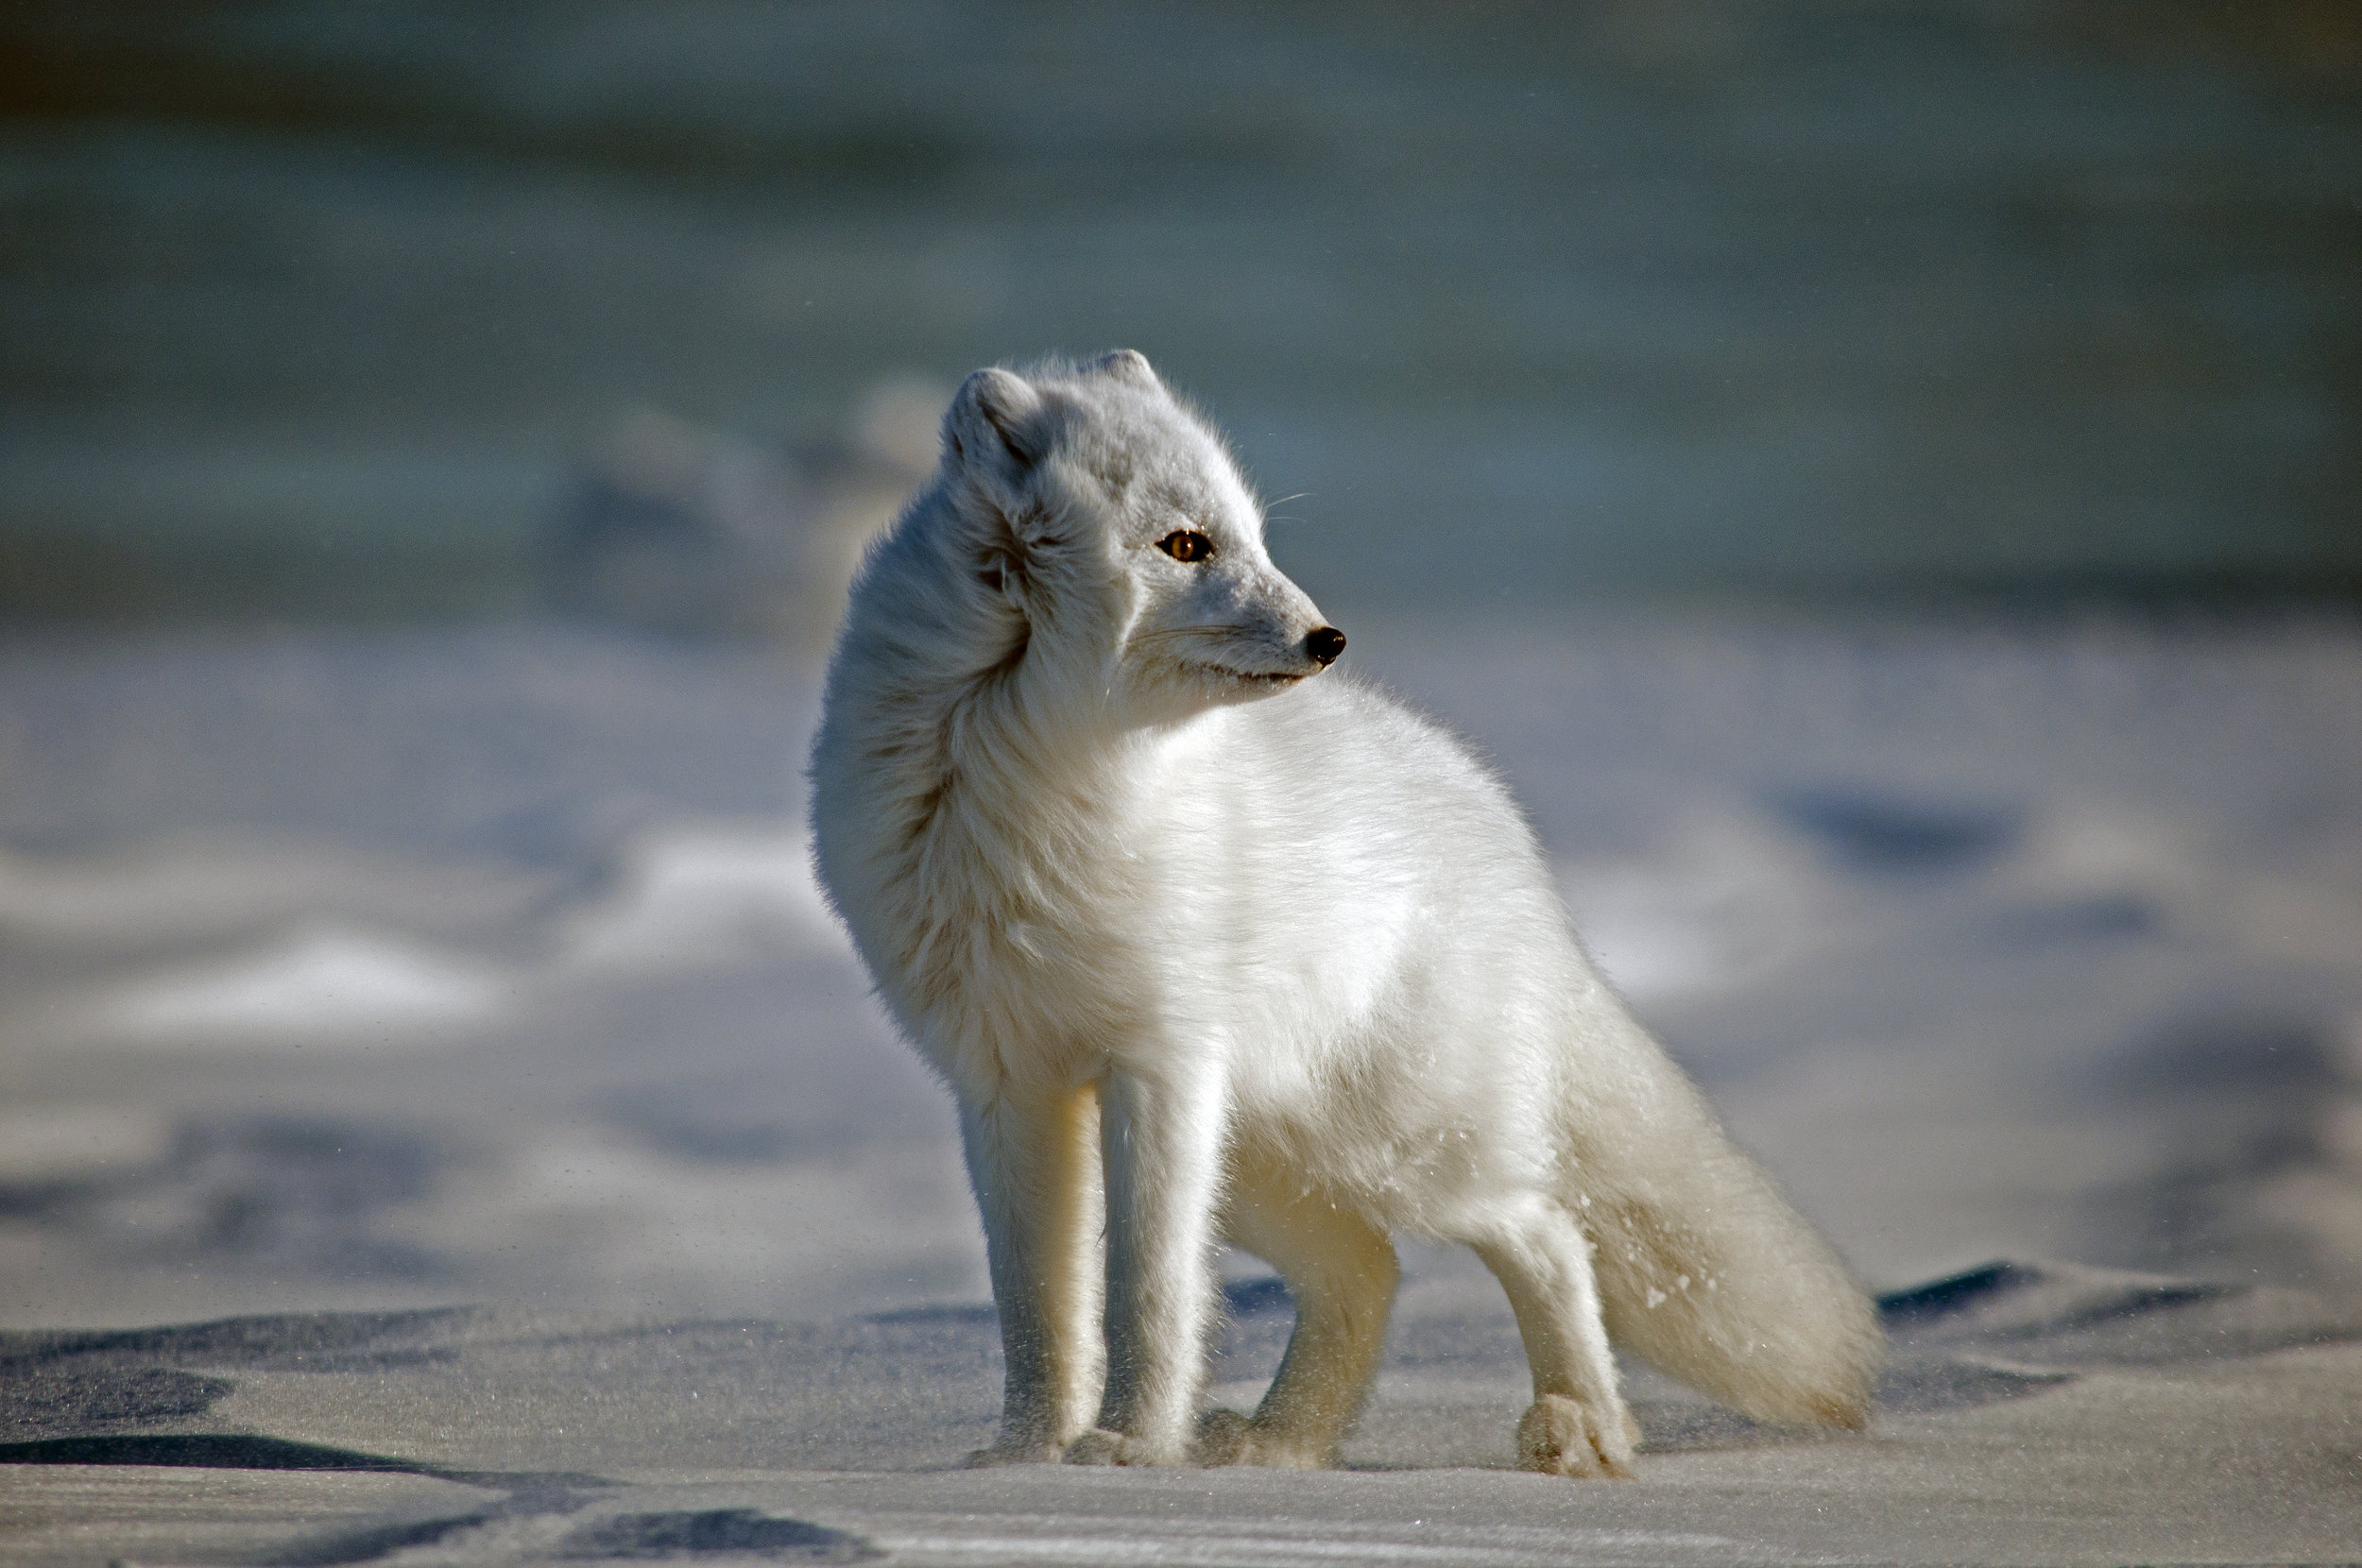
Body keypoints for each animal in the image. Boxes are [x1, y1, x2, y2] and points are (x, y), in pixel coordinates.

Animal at [813, 349, 1880, 1474]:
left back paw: (1580, 1429)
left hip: (1393, 1142)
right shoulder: (1007, 1083)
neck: (1033, 770)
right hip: (1263, 1158)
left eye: (1252, 534)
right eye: (1186, 543)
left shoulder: (1161, 1061)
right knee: (1368, 1268)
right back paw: (1279, 1445)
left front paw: (1129, 1450)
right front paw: (1026, 1454)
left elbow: (1150, 1289)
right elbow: (1037, 1304)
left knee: (1544, 1231)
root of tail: (1505, 835)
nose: (1326, 638)